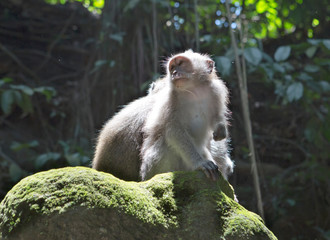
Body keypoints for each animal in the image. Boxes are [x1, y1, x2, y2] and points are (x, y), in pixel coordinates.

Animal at [91, 49, 233, 182]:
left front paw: (221, 129)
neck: (193, 91)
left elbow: (216, 115)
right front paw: (200, 163)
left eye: (181, 63)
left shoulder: (215, 90)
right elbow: (173, 131)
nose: (174, 73)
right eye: (173, 67)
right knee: (165, 142)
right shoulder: (170, 100)